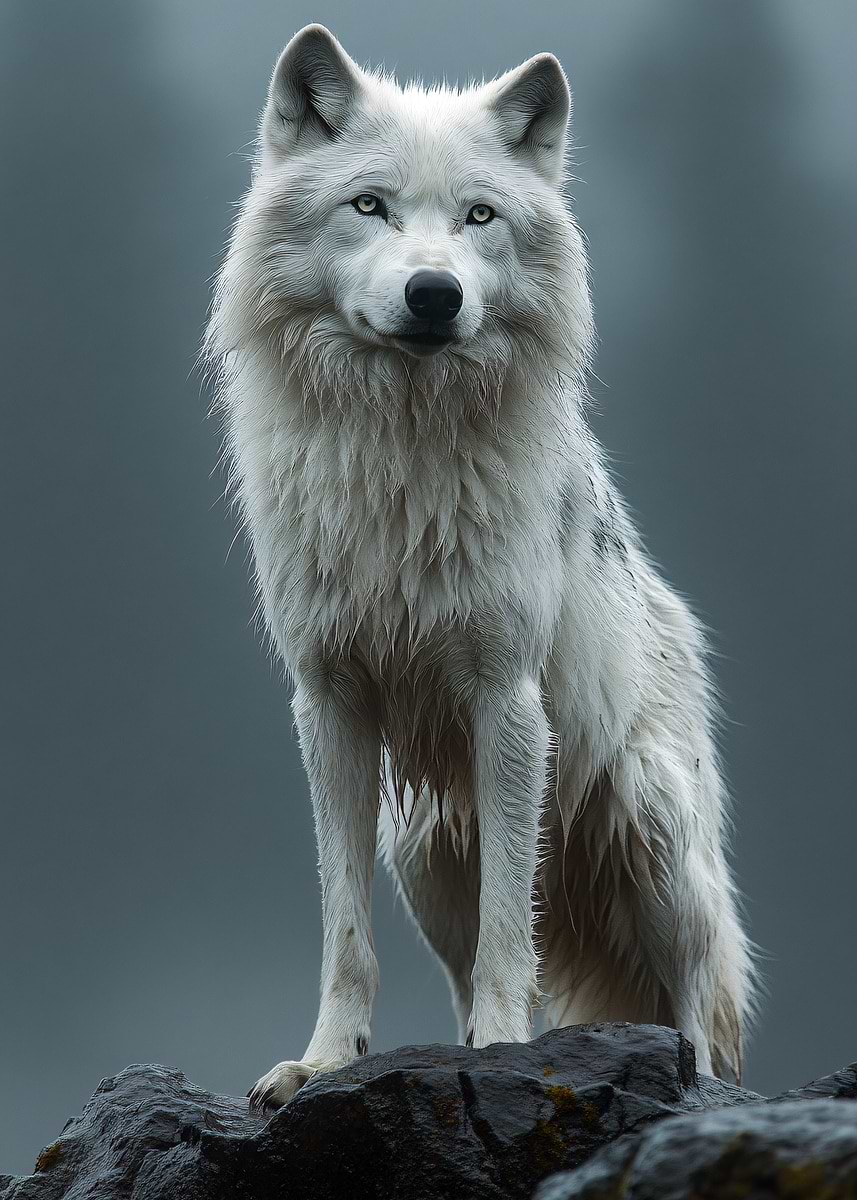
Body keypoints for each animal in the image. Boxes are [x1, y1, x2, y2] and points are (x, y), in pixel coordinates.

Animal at [205, 24, 755, 1110]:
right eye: (368, 205)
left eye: (478, 217)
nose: (434, 292)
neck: (398, 455)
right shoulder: (329, 704)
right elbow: (344, 928)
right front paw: (326, 1062)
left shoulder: (506, 702)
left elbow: (513, 928)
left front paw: (503, 1053)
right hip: (423, 852)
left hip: (648, 824)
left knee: (694, 1012)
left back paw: (692, 1085)